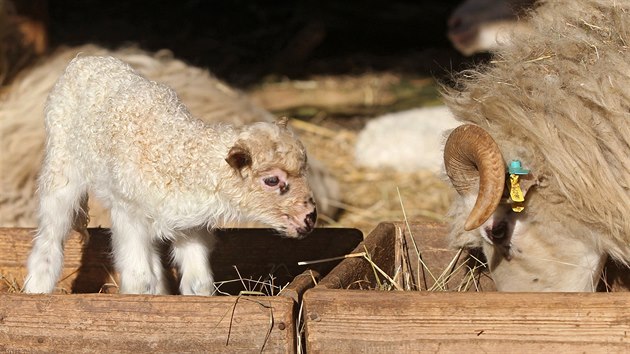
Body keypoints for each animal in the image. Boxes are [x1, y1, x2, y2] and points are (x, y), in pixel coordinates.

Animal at [23, 54, 320, 294]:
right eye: (272, 180)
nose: (310, 218)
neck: (181, 156)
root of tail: (85, 59)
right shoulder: (128, 214)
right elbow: (139, 280)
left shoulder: (189, 224)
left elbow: (198, 283)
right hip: (61, 166)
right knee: (50, 235)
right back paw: (37, 290)